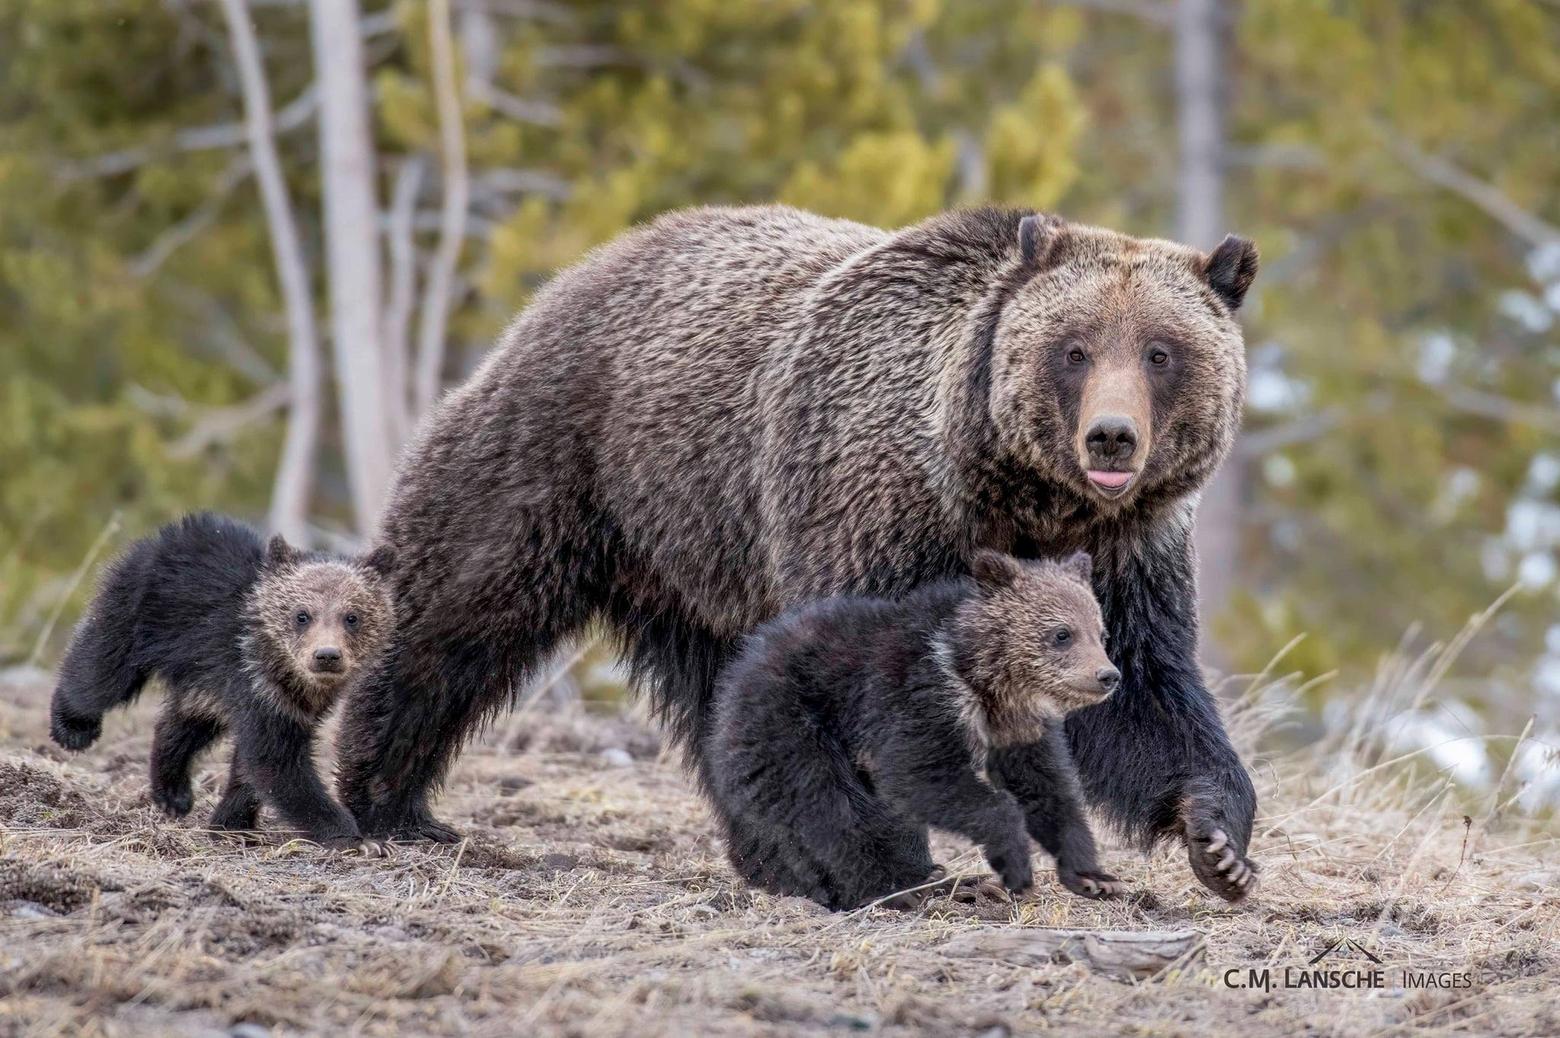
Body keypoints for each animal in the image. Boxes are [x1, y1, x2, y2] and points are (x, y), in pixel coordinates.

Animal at [52, 511, 399, 849]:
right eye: (302, 615)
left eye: (352, 617)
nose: (327, 655)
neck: (289, 676)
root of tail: (170, 533)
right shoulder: (256, 683)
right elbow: (277, 763)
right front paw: (354, 836)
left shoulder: (290, 703)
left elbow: (251, 766)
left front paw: (232, 824)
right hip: (141, 611)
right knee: (101, 673)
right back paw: (72, 727)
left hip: (201, 675)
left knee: (188, 721)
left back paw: (173, 793)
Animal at [711, 549, 1135, 905]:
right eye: (1061, 634)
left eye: (1101, 632)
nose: (1108, 676)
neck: (977, 676)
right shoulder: (911, 697)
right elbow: (918, 774)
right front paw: (1015, 865)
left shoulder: (1015, 728)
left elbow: (1048, 787)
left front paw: (1093, 876)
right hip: (793, 724)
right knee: (830, 808)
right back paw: (890, 889)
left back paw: (943, 880)